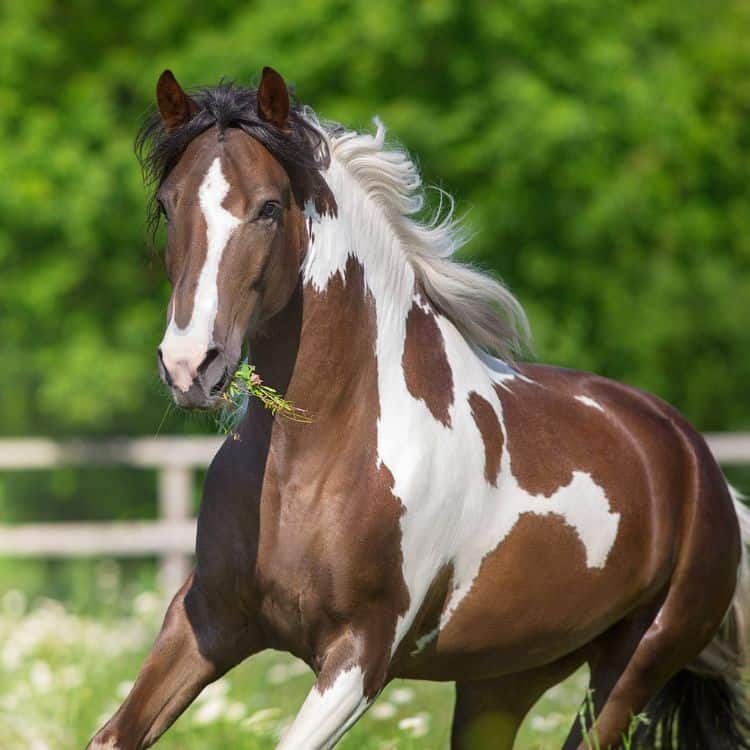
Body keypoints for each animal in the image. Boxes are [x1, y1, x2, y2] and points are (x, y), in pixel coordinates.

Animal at [88, 67, 750, 750]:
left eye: (269, 207)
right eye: (169, 205)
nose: (191, 365)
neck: (315, 462)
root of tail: (698, 463)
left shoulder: (360, 657)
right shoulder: (208, 620)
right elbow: (113, 734)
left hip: (630, 673)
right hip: (502, 680)